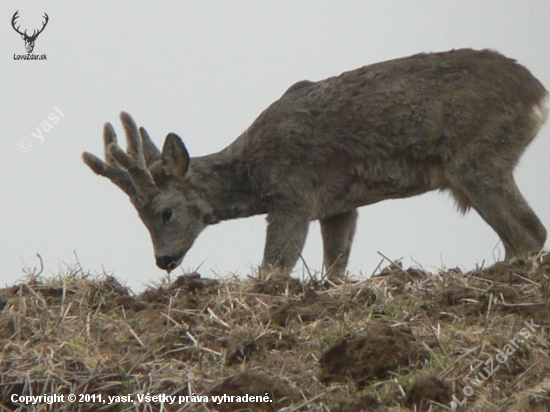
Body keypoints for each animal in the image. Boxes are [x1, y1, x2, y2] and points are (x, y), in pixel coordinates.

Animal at [84, 50, 548, 278]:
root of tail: (537, 94)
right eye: (140, 218)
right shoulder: (338, 205)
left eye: (165, 212)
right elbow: (335, 268)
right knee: (527, 234)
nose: (162, 261)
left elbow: (273, 268)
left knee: (529, 235)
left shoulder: (292, 197)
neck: (255, 169)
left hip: (476, 159)